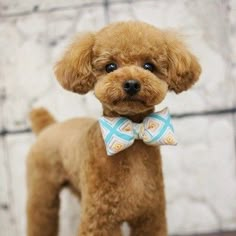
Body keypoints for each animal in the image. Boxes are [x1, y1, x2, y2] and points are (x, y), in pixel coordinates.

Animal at [26, 21, 201, 235]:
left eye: (149, 66)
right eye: (110, 66)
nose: (132, 83)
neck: (132, 133)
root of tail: (48, 126)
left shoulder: (150, 216)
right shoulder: (100, 220)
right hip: (43, 190)